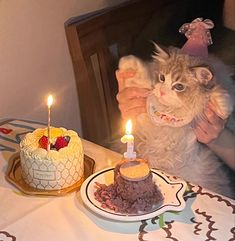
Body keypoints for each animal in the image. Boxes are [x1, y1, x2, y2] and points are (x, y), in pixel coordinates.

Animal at [117, 44, 235, 199]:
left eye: (179, 86)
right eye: (161, 78)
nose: (162, 91)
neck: (171, 113)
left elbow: (217, 93)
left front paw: (223, 109)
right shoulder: (145, 119)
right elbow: (143, 80)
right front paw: (127, 61)